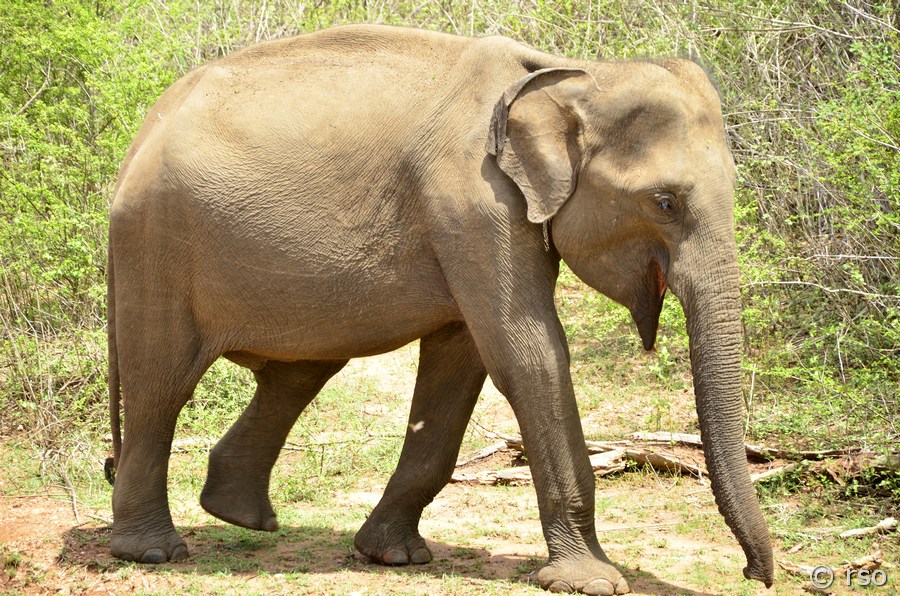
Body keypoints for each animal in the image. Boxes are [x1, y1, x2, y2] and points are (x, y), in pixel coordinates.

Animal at [105, 24, 773, 594]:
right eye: (665, 202)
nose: (755, 576)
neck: (576, 74)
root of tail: (142, 132)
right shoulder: (474, 199)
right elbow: (528, 356)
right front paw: (592, 581)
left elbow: (462, 360)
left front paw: (392, 556)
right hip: (155, 245)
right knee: (161, 383)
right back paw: (153, 551)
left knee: (301, 369)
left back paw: (242, 517)